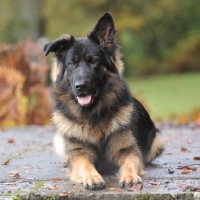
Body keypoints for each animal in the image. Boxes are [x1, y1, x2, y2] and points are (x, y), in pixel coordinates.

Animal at [44, 12, 166, 191]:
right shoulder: (80, 154)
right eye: (72, 63)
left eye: (94, 61)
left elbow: (130, 163)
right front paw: (92, 177)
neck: (93, 114)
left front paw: (129, 176)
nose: (80, 86)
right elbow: (85, 164)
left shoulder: (128, 150)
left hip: (157, 140)